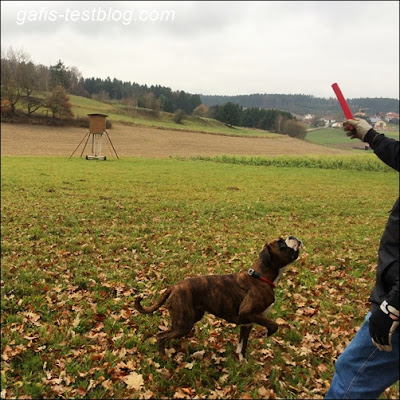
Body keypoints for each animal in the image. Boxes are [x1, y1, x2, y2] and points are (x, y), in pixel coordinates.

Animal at [133, 236, 302, 360]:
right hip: (184, 324)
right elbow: (274, 325)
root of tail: (174, 287)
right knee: (161, 336)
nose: (292, 237)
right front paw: (264, 334)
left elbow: (242, 346)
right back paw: (164, 357)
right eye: (281, 244)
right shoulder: (248, 313)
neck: (260, 277)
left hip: (189, 318)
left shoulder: (247, 324)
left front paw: (242, 362)